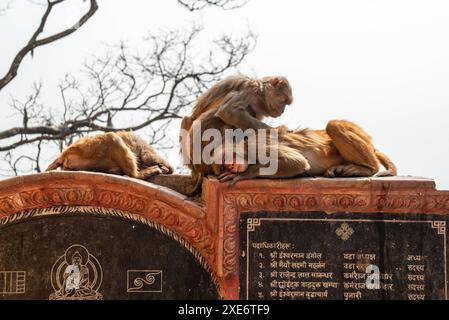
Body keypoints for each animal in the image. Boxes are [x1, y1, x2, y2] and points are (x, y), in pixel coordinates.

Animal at [216, 120, 396, 185]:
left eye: (225, 161)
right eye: (223, 167)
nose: (230, 167)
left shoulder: (257, 145)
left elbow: (297, 162)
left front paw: (245, 174)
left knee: (333, 125)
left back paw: (368, 168)